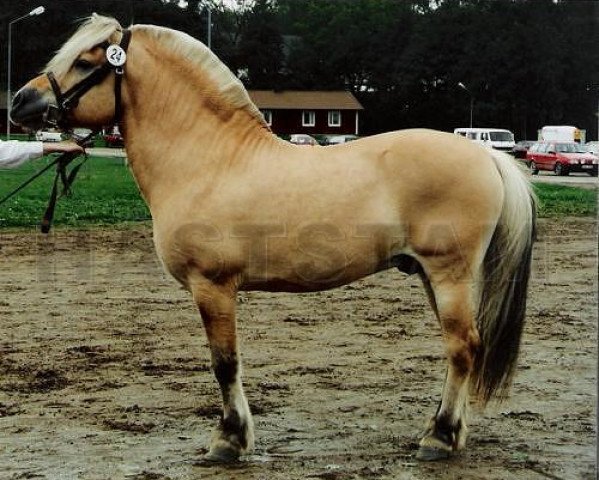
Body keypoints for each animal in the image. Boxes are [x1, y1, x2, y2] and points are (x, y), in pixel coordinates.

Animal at [9, 15, 536, 464]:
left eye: (86, 60)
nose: (20, 103)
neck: (209, 160)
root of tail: (489, 156)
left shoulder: (213, 286)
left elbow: (225, 364)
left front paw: (229, 440)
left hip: (449, 273)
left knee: (463, 346)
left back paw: (438, 438)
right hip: (431, 274)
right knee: (464, 347)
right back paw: (449, 434)